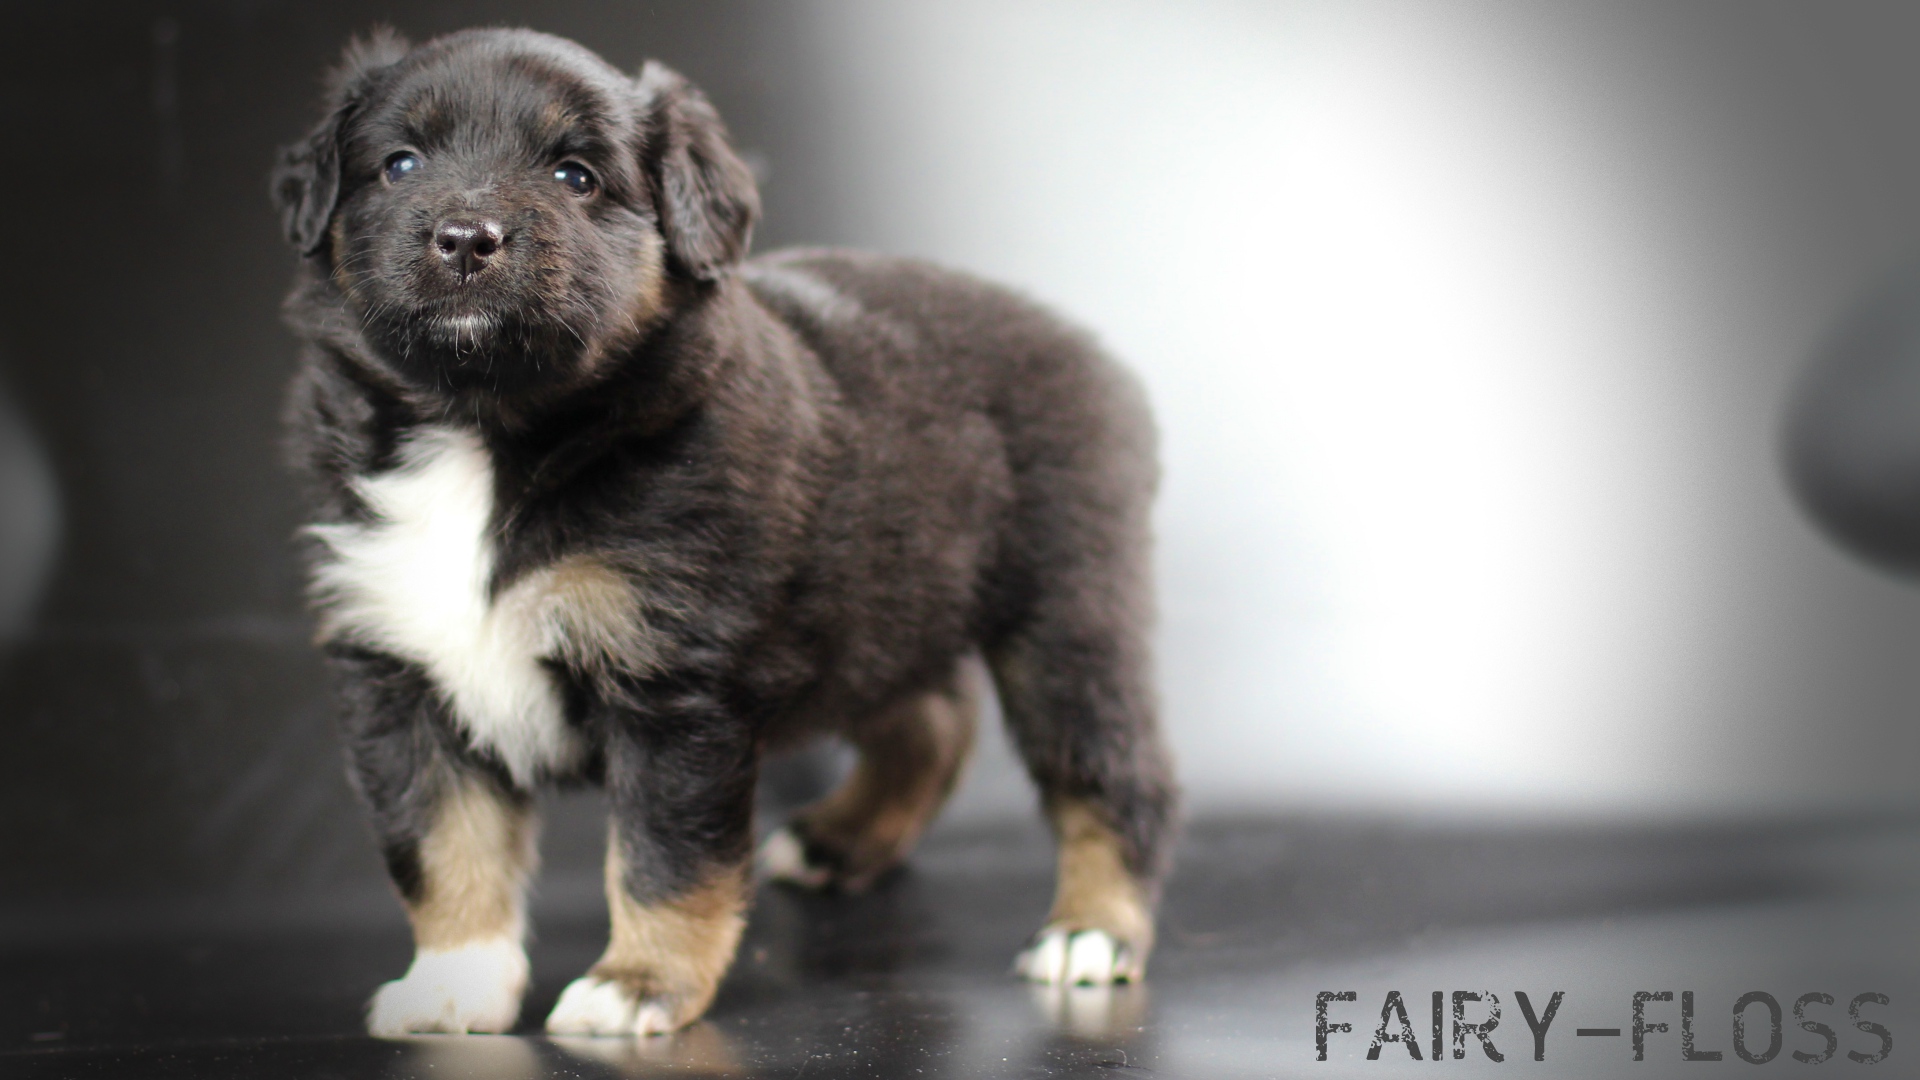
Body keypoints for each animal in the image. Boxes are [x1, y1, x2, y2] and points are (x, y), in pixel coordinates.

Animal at [272, 27, 1176, 1037]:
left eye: (576, 175)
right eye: (400, 164)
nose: (468, 237)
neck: (491, 428)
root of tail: (1093, 352)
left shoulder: (674, 687)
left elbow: (663, 858)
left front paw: (637, 987)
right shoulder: (401, 671)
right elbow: (440, 844)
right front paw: (454, 982)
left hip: (1069, 616)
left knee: (1113, 774)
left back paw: (1091, 933)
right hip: (881, 600)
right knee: (931, 720)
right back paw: (838, 842)